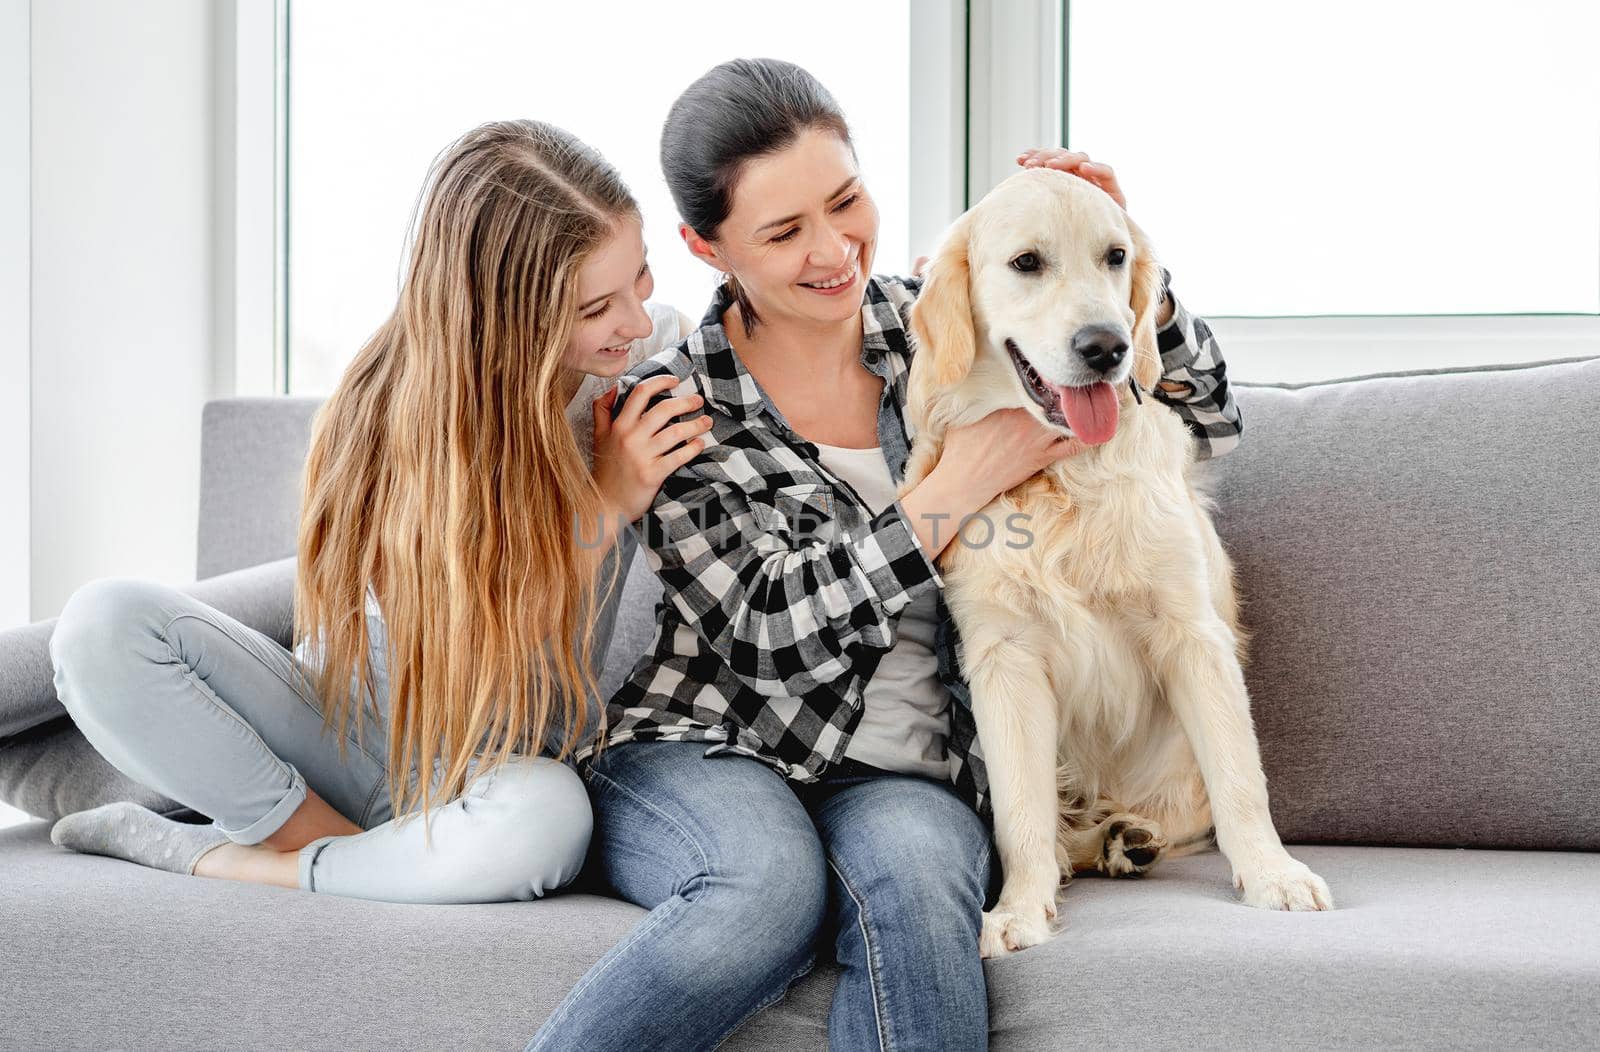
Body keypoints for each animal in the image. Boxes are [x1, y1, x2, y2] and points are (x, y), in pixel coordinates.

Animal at [902, 167, 1337, 952]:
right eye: (1026, 263)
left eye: (1114, 257)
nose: (1106, 346)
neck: (1064, 478)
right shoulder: (1004, 655)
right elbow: (1021, 815)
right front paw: (1019, 909)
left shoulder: (1191, 631)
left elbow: (1241, 779)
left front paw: (1273, 875)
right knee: (1059, 828)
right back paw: (1108, 844)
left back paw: (1128, 838)